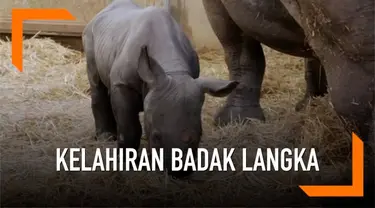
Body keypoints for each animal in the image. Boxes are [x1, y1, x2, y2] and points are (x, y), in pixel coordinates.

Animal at [83, 0, 239, 179]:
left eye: (200, 136)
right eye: (156, 137)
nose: (179, 172)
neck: (172, 70)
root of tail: (102, 11)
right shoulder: (123, 84)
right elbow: (130, 128)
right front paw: (128, 163)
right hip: (90, 35)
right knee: (97, 82)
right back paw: (106, 138)